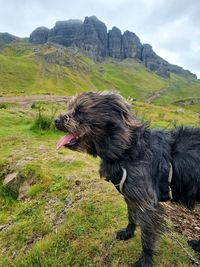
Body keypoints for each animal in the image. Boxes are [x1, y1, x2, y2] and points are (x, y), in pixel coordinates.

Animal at [54, 91, 200, 266]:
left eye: (80, 110)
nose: (56, 120)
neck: (126, 149)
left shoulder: (147, 203)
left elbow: (148, 235)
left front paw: (146, 259)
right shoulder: (131, 196)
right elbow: (131, 215)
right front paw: (128, 232)